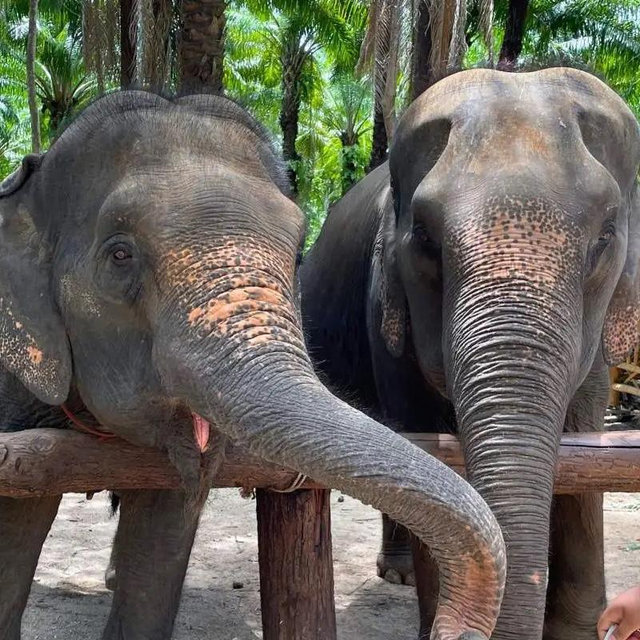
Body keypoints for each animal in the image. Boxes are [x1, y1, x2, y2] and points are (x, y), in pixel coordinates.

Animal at [300, 67, 640, 640]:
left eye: (605, 237)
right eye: (424, 238)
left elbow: (583, 436)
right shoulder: (385, 310)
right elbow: (426, 442)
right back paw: (397, 574)